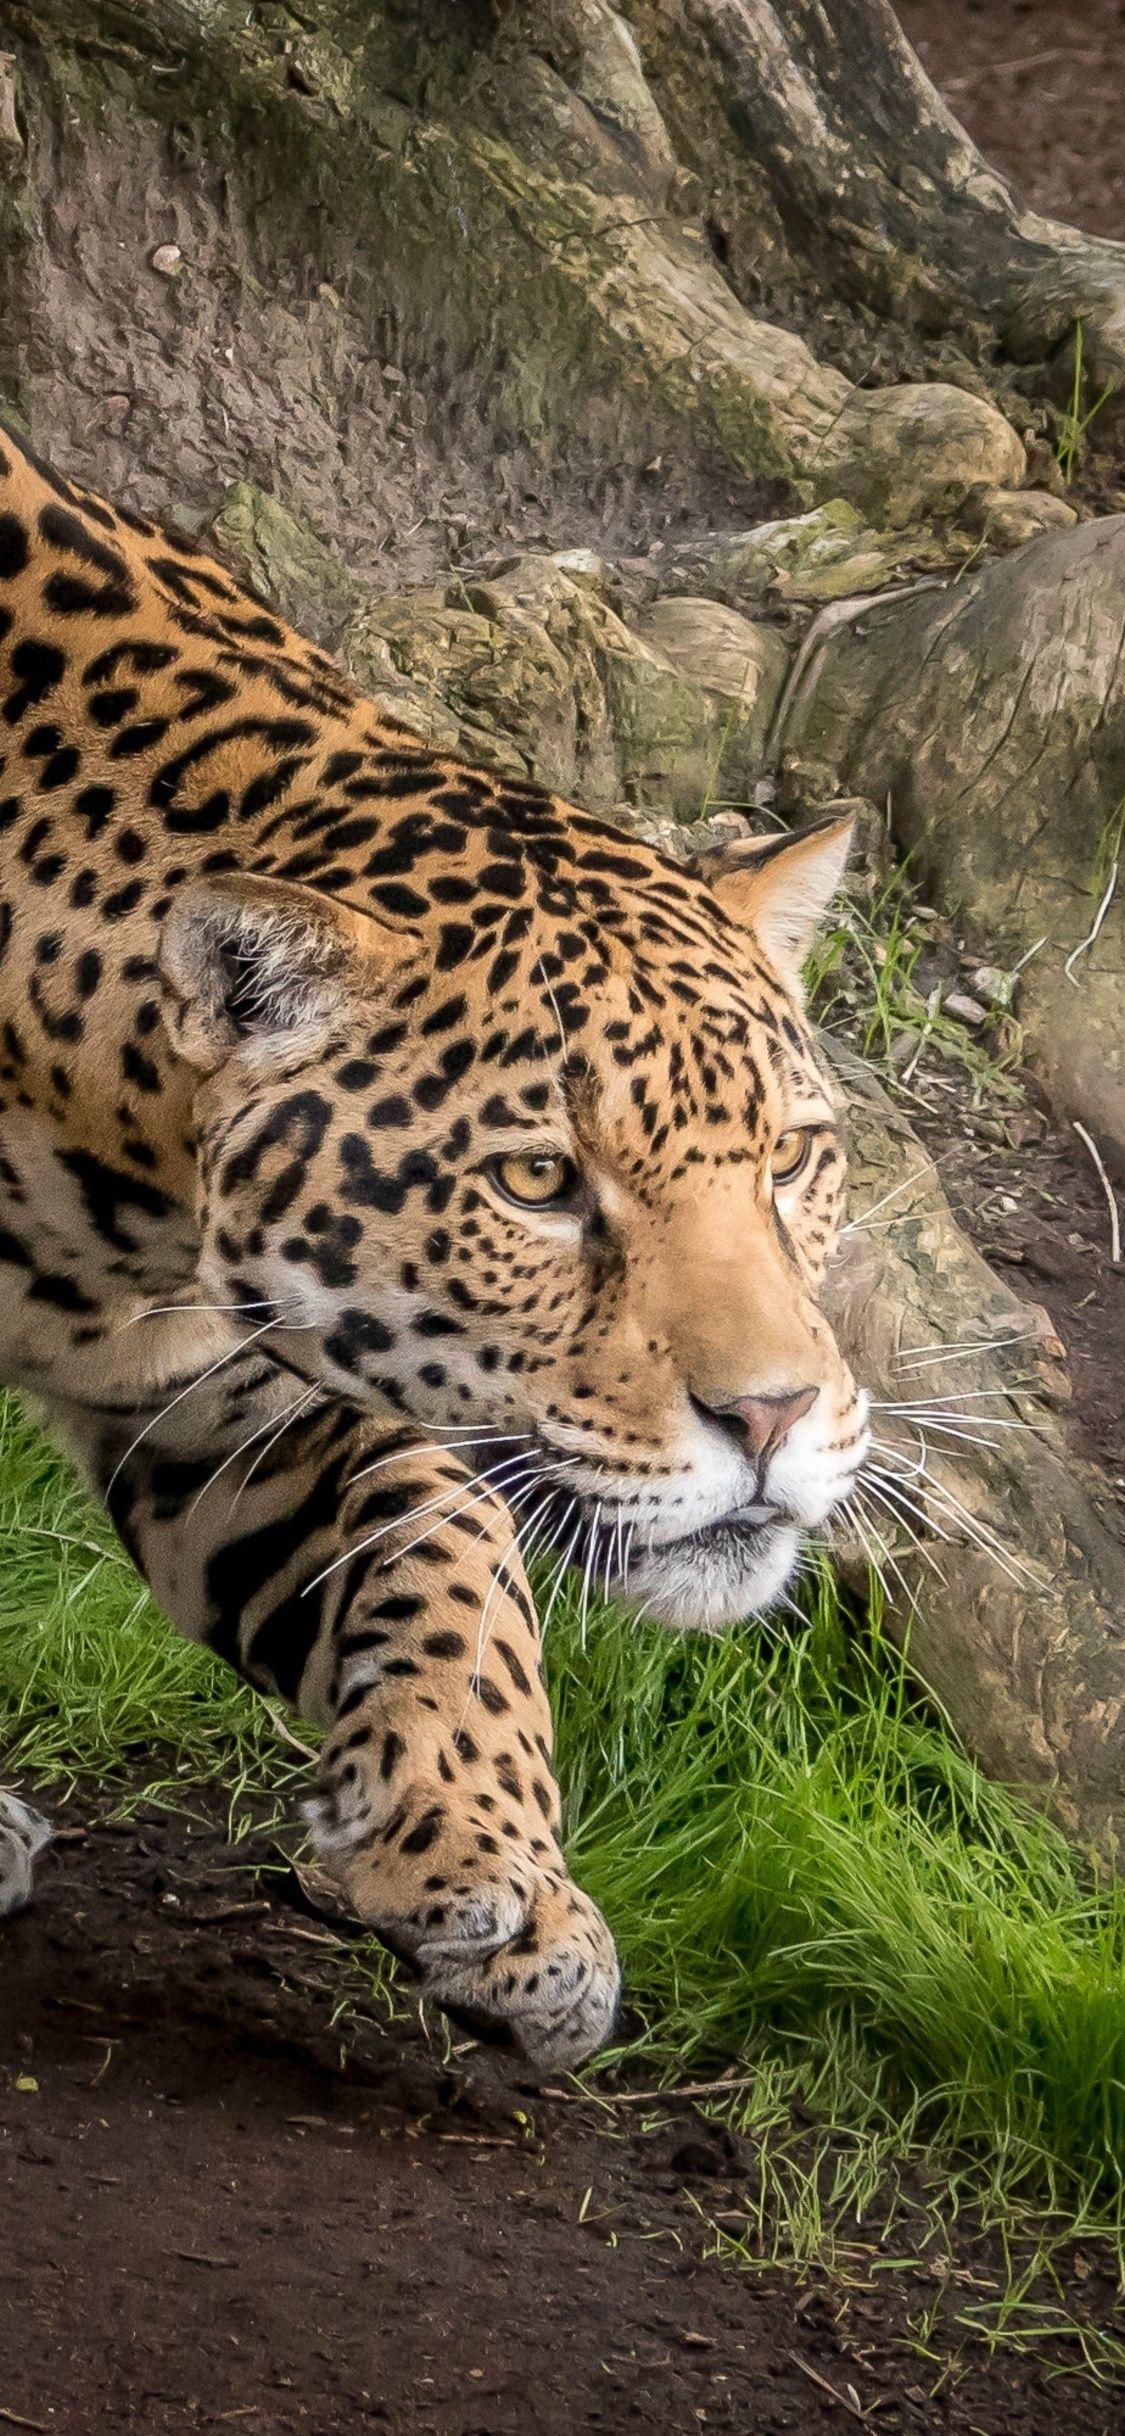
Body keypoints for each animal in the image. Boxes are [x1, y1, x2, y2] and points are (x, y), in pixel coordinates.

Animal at [0, 420, 869, 2065]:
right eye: (537, 1179)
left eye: (791, 1157)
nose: (778, 1415)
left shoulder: (217, 1393)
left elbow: (454, 1542)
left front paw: (487, 1864)